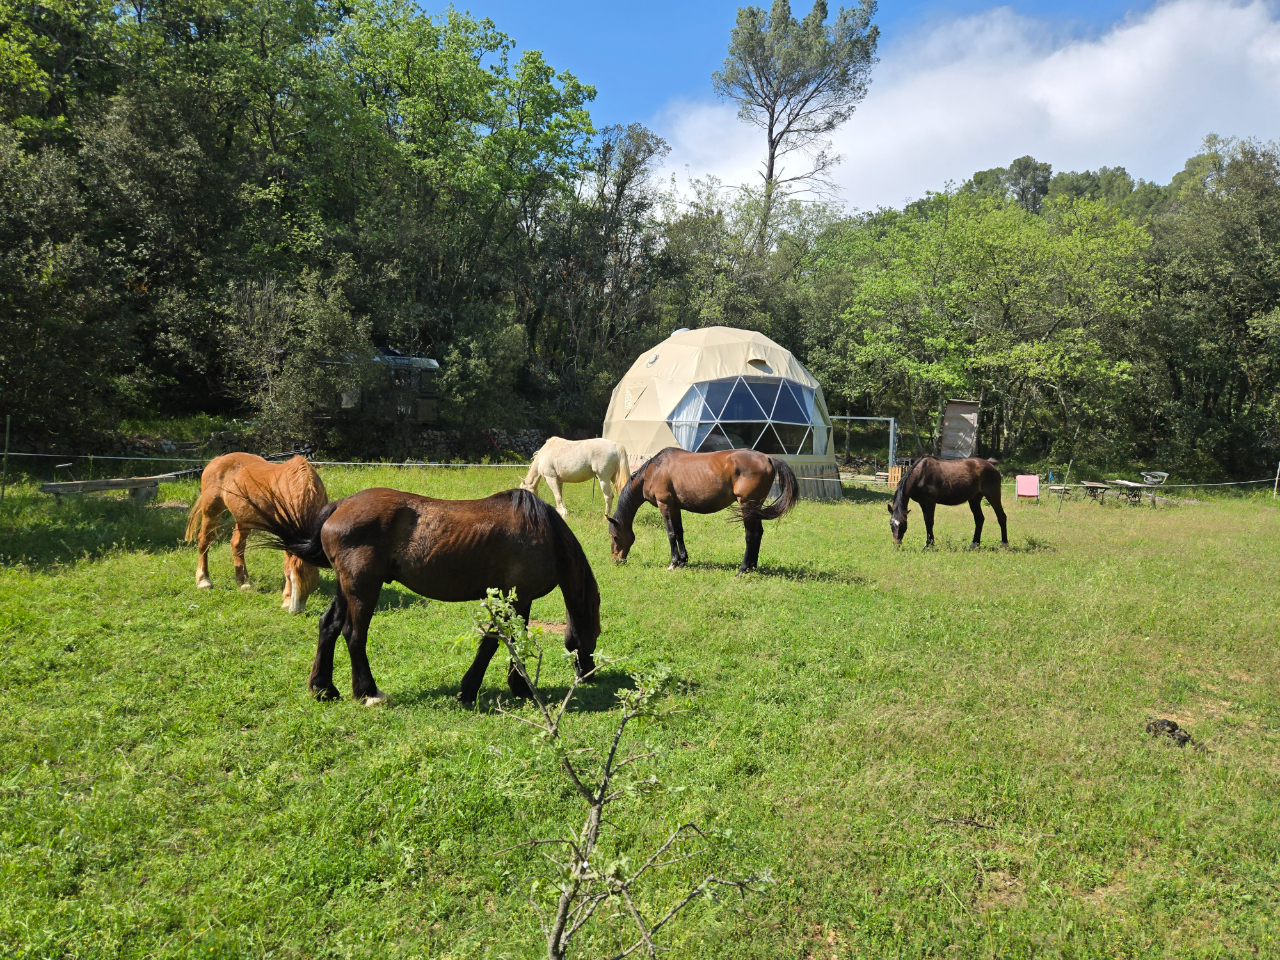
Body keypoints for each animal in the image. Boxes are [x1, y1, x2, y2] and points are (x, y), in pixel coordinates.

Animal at [185, 453, 328, 613]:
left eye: (312, 579)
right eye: (292, 577)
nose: (296, 611)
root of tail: (217, 460)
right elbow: (287, 565)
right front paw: (286, 600)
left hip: (244, 518)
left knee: (237, 545)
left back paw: (244, 582)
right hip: (211, 511)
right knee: (204, 542)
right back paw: (203, 581)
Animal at [230, 484, 601, 706]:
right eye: (595, 634)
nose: (589, 673)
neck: (545, 533)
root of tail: (338, 507)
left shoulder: (514, 599)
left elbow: (506, 640)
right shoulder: (518, 596)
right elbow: (499, 641)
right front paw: (482, 689)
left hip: (346, 587)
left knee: (329, 626)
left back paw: (324, 688)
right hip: (364, 588)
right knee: (354, 634)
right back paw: (368, 692)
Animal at [607, 448, 799, 574]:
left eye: (615, 536)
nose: (616, 560)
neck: (653, 471)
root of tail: (768, 457)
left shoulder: (665, 504)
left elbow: (671, 534)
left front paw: (673, 563)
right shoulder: (675, 507)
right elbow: (679, 532)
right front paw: (683, 561)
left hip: (747, 505)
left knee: (751, 535)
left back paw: (742, 569)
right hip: (755, 508)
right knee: (758, 533)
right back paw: (752, 567)